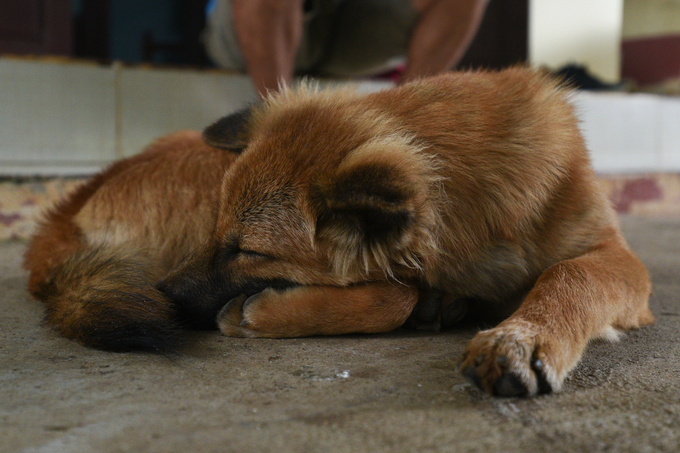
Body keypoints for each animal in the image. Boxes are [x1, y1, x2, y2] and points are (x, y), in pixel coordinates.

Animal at [25, 67, 652, 396]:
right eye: (215, 235)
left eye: (246, 250)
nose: (164, 297)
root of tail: (68, 206)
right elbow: (398, 292)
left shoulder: (619, 259)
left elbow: (570, 275)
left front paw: (523, 337)